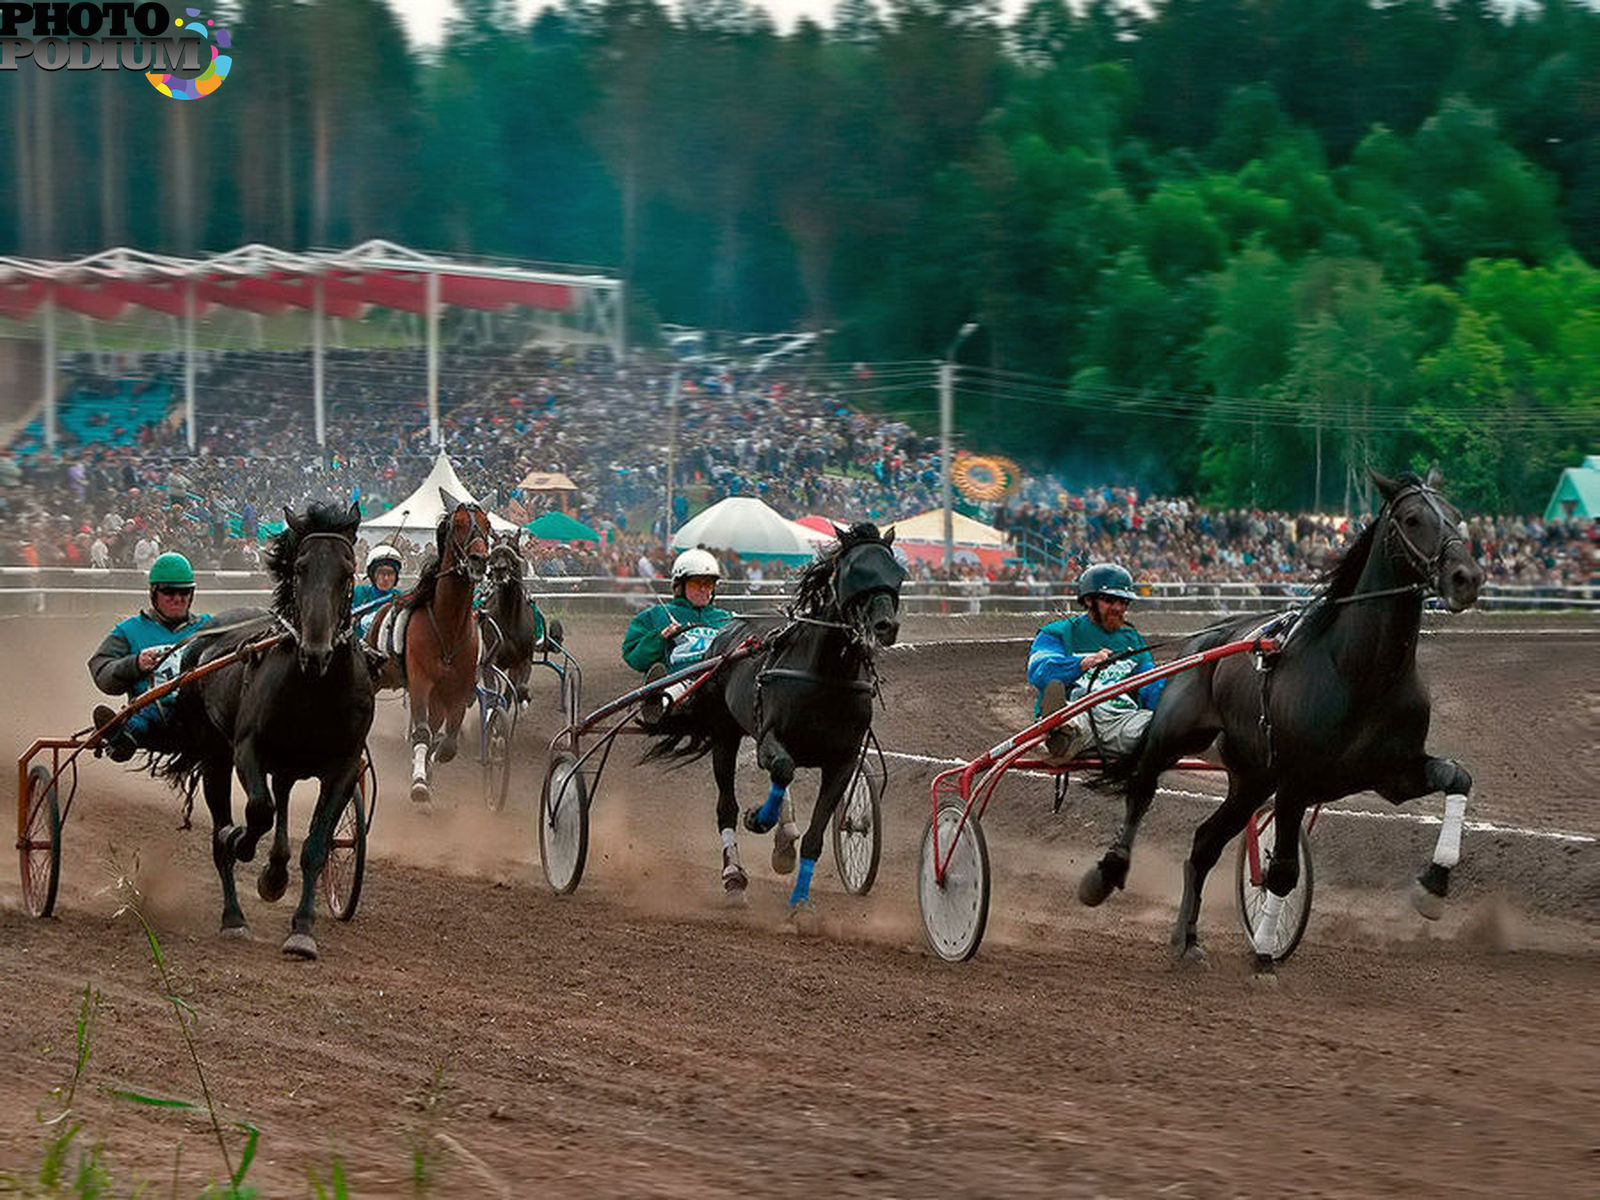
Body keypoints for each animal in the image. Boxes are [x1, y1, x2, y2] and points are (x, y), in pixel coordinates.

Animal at [156, 502, 374, 966]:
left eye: (348, 570)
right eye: (301, 568)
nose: (316, 652)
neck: (316, 687)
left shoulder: (343, 766)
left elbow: (316, 845)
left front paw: (302, 930)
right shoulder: (248, 750)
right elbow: (257, 811)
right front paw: (239, 841)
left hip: (288, 765)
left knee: (284, 804)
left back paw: (273, 873)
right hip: (216, 756)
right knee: (232, 826)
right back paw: (234, 914)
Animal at [366, 492, 489, 803]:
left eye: (488, 525)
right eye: (458, 524)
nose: (478, 560)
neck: (447, 628)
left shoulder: (458, 688)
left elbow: (446, 743)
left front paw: (428, 768)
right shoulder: (420, 681)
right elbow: (422, 732)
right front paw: (420, 783)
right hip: (377, 675)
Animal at [646, 524, 902, 908]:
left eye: (897, 572)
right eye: (856, 571)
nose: (886, 626)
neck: (826, 675)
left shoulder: (842, 761)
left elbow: (815, 835)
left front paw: (800, 900)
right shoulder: (769, 738)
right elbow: (781, 770)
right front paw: (758, 819)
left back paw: (784, 842)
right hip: (725, 734)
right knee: (727, 806)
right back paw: (734, 875)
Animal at [1075, 473, 1484, 972]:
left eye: (1457, 515)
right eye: (1411, 518)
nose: (1467, 577)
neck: (1359, 672)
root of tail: (1208, 637)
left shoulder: (1394, 774)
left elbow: (1458, 779)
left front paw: (1433, 886)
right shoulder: (1295, 783)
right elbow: (1283, 873)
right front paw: (1266, 955)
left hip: (1252, 779)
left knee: (1204, 843)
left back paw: (1187, 939)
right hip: (1177, 734)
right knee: (1141, 789)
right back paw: (1106, 873)